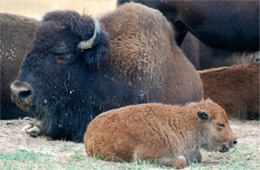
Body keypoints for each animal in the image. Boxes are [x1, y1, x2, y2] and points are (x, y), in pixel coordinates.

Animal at [84, 99, 237, 169]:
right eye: (221, 124)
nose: (235, 141)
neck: (185, 123)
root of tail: (88, 131)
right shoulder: (145, 157)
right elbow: (181, 161)